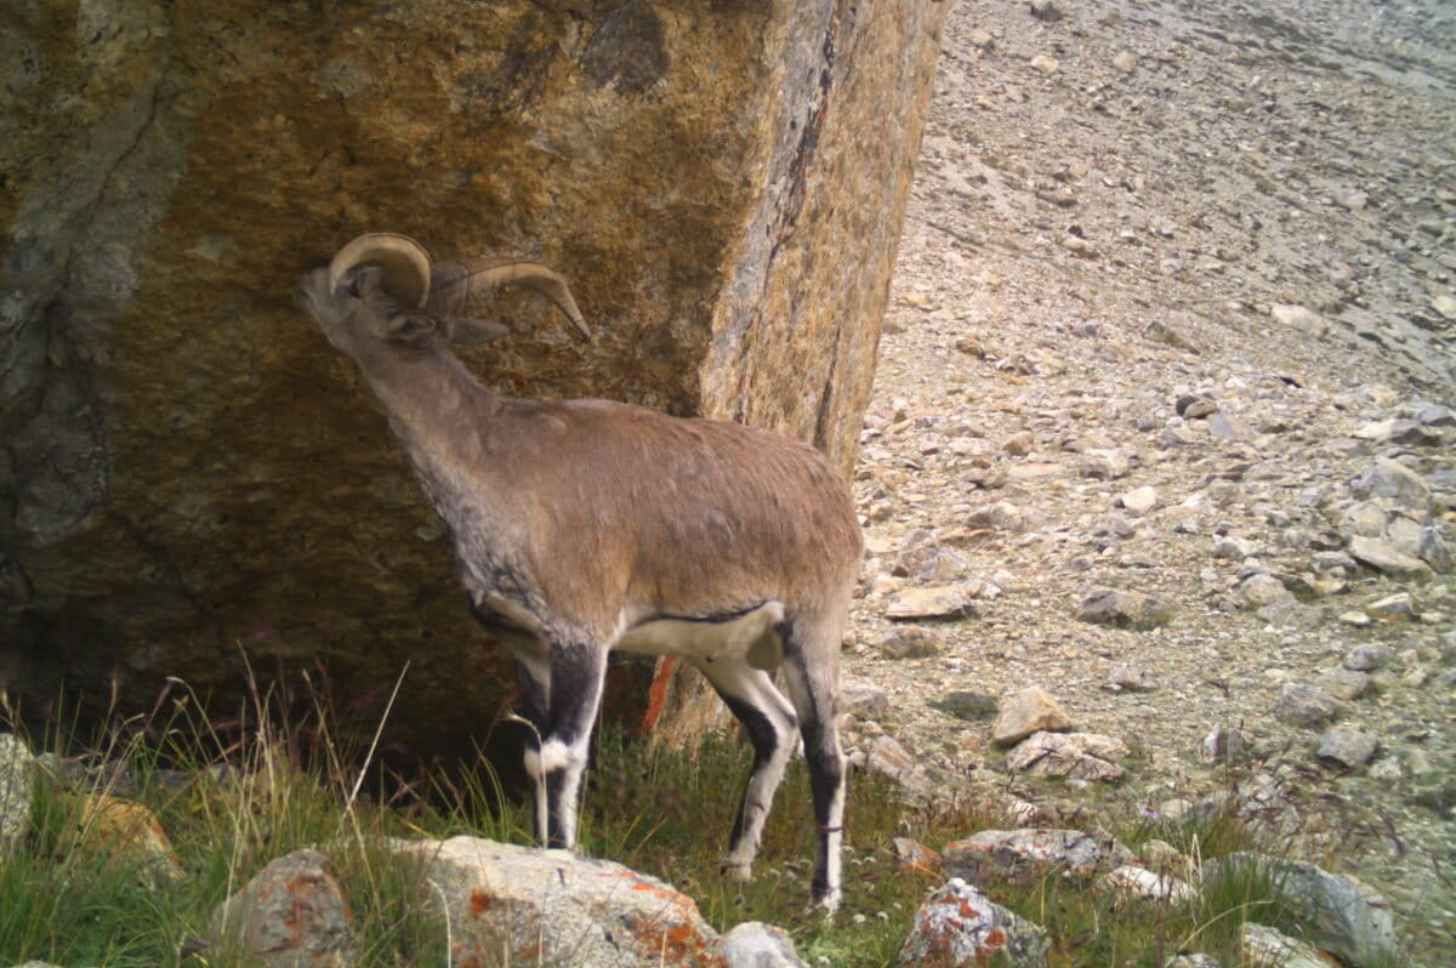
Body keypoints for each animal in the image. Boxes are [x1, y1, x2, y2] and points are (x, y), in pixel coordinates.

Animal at [298, 232, 862, 912]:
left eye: (356, 286)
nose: (304, 279)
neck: (501, 464)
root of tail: (834, 493)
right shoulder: (529, 646)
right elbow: (535, 754)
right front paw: (540, 851)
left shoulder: (583, 639)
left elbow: (563, 756)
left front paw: (562, 860)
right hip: (719, 653)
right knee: (775, 728)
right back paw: (736, 868)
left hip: (811, 633)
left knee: (828, 754)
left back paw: (824, 900)